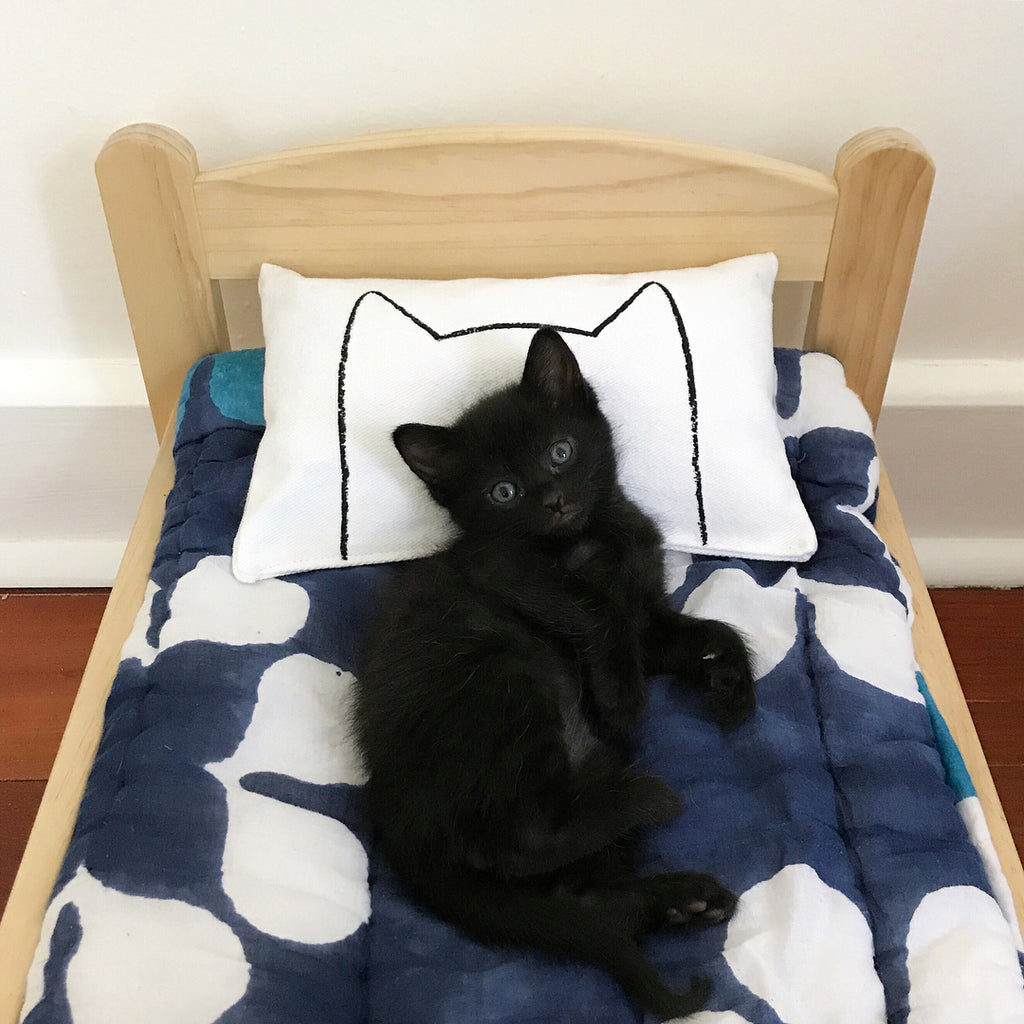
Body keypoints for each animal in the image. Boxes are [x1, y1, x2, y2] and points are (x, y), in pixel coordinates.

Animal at [356, 325, 757, 1015]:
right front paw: (622, 695)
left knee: (573, 897)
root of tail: (400, 821)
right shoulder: (506, 564)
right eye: (503, 493)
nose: (556, 501)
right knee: (517, 842)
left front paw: (728, 679)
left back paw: (681, 900)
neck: (597, 532)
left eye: (560, 452)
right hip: (506, 676)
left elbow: (699, 632)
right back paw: (648, 801)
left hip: (578, 760)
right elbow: (593, 607)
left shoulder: (647, 625)